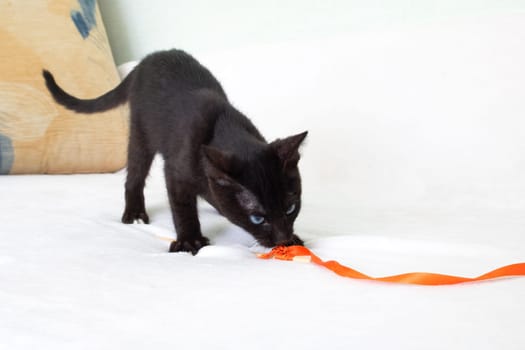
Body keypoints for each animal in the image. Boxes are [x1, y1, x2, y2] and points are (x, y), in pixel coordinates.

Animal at [44, 49, 308, 254]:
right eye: (257, 218)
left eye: (290, 208)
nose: (282, 239)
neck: (224, 126)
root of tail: (146, 60)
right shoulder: (176, 171)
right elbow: (182, 207)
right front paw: (190, 240)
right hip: (141, 133)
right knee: (134, 174)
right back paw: (134, 212)